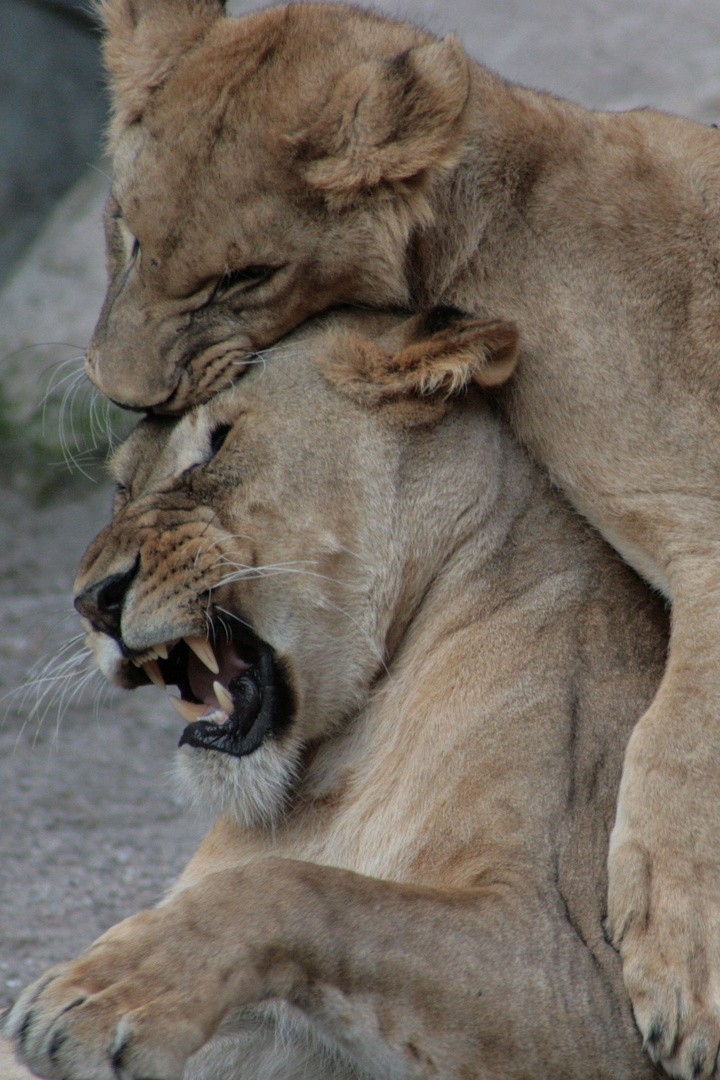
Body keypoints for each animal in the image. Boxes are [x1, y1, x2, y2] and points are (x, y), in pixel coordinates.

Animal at [7, 311, 669, 1080]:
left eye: (218, 444)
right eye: (120, 487)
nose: (92, 602)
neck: (345, 751)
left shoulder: (597, 988)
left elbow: (299, 886)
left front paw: (103, 991)